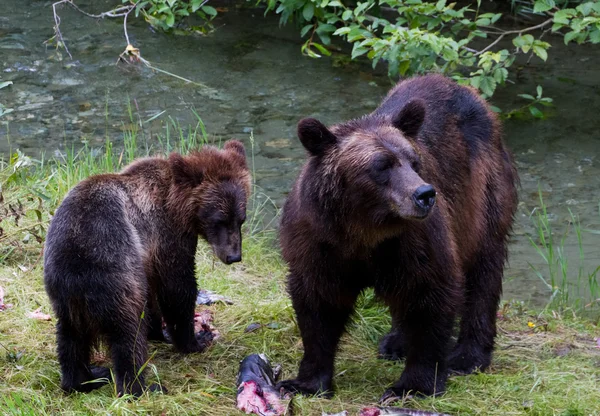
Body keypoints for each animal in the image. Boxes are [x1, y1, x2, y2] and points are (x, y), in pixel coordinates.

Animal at [43, 142, 251, 396]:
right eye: (219, 220)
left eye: (240, 219)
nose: (234, 256)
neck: (178, 204)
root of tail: (74, 258)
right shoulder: (167, 234)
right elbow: (177, 287)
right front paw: (196, 339)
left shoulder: (147, 256)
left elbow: (153, 293)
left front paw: (159, 332)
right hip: (114, 266)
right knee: (128, 332)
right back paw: (142, 386)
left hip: (64, 292)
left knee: (69, 336)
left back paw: (84, 379)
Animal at [276, 75, 516, 400]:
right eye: (381, 165)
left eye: (413, 161)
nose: (425, 194)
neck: (364, 230)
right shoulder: (319, 241)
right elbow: (318, 304)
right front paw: (306, 381)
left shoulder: (416, 240)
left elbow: (432, 295)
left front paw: (413, 384)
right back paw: (396, 342)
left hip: (482, 194)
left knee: (483, 271)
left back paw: (468, 356)